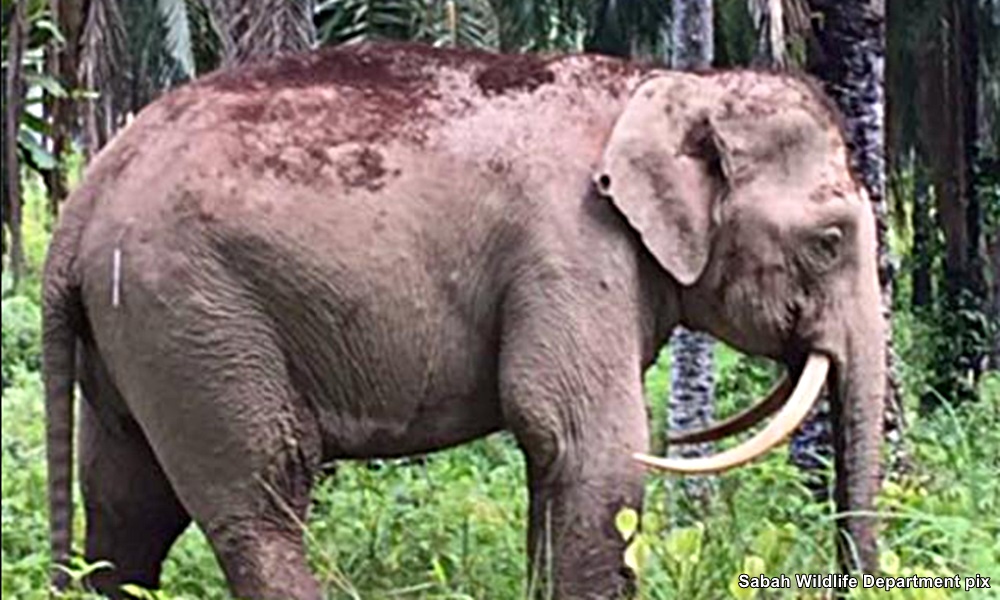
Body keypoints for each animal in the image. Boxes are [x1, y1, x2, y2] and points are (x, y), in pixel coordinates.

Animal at [42, 42, 885, 599]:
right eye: (829, 240)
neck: (666, 85)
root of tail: (81, 206)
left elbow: (560, 458)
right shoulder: (572, 248)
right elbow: (589, 444)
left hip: (136, 330)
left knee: (126, 505)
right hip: (196, 313)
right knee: (261, 495)